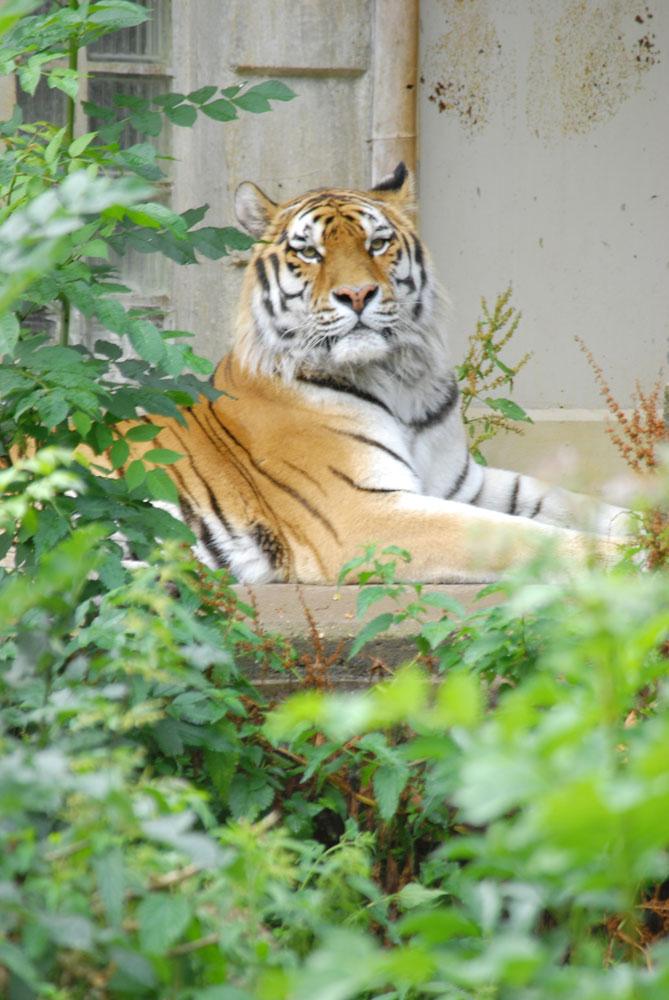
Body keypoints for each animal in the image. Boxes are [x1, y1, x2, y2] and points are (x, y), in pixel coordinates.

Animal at [131, 162, 630, 584]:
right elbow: (516, 533)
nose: (356, 294)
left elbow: (566, 500)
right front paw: (627, 559)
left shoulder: (462, 485)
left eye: (377, 243)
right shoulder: (362, 509)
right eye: (309, 252)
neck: (399, 379)